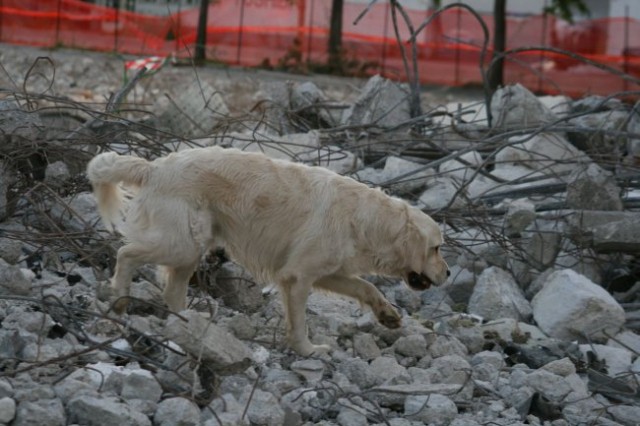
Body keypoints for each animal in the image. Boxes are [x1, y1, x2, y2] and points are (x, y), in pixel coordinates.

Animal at [86, 146, 450, 356]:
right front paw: (307, 349)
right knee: (127, 254)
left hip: (192, 245)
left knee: (172, 289)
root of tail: (155, 167)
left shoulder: (328, 272)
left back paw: (188, 322)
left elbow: (366, 286)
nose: (447, 273)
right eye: (436, 248)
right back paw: (120, 298)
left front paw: (387, 314)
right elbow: (299, 321)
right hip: (181, 243)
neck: (366, 219)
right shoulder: (297, 276)